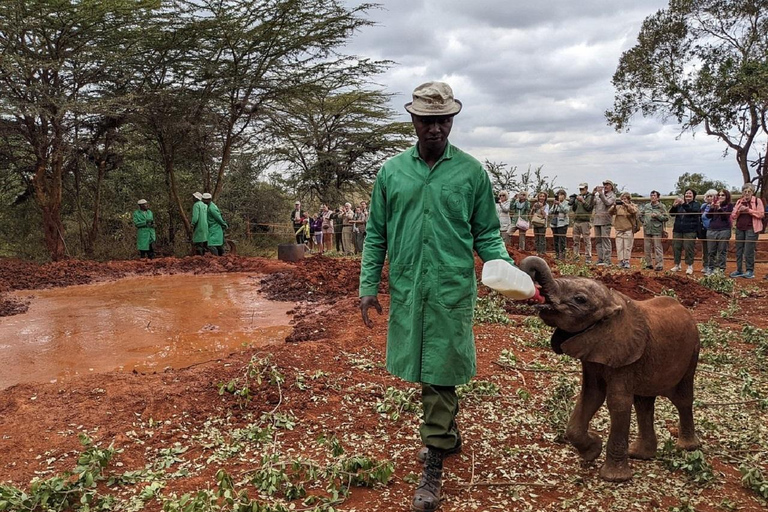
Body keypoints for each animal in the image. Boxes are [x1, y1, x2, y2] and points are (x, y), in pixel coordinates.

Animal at [520, 258, 700, 482]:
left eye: (580, 299)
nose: (534, 293)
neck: (613, 302)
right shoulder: (594, 355)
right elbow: (591, 396)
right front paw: (592, 452)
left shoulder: (624, 355)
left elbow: (618, 403)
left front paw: (614, 478)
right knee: (643, 403)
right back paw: (641, 454)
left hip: (692, 352)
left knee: (682, 398)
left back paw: (687, 448)